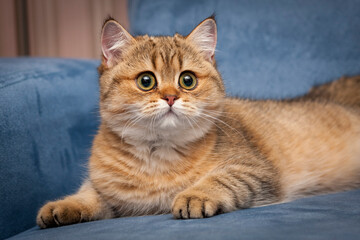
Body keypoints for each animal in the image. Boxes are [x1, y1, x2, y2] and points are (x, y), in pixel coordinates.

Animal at [36, 15, 360, 228]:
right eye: (146, 81)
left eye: (187, 80)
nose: (170, 97)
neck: (157, 156)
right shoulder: (108, 190)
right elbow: (88, 194)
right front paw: (63, 205)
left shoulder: (254, 169)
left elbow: (219, 178)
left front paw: (194, 195)